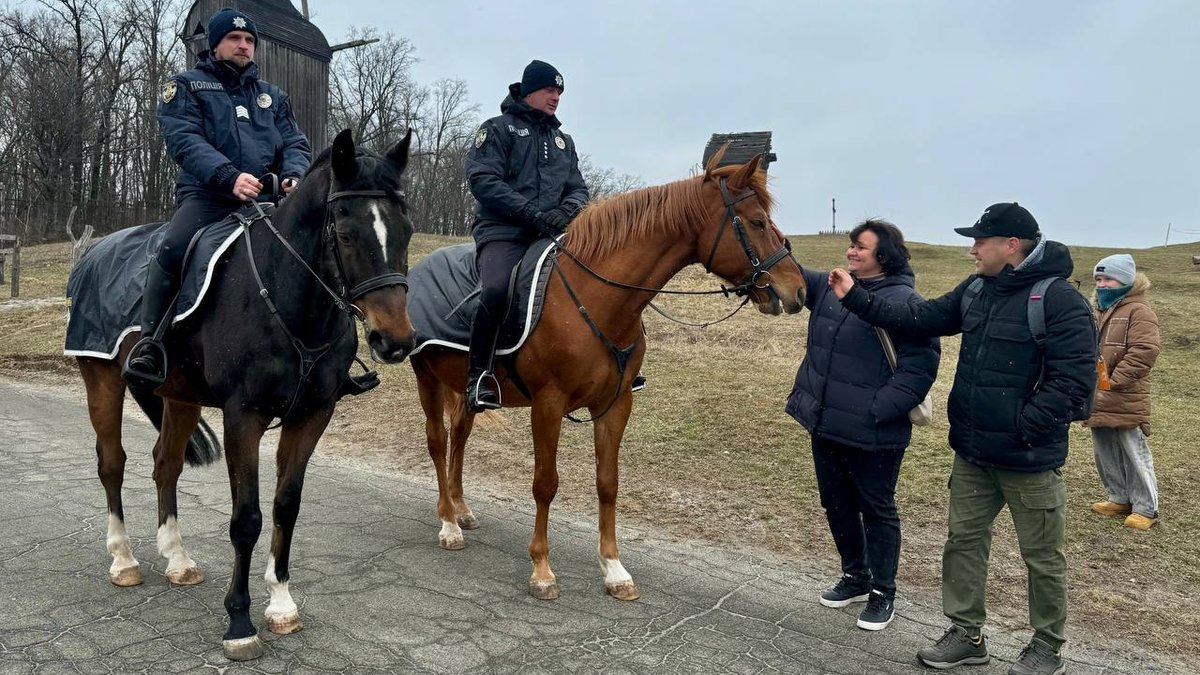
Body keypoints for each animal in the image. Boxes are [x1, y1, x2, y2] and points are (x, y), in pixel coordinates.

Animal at [70, 128, 420, 658]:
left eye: (407, 230)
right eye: (345, 233)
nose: (394, 340)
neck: (287, 297)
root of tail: (93, 253)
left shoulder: (312, 415)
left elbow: (285, 507)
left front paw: (281, 604)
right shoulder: (244, 417)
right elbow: (247, 518)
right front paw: (239, 621)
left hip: (180, 397)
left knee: (165, 464)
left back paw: (177, 559)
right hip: (103, 381)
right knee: (112, 464)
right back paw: (124, 560)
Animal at [412, 151, 806, 598]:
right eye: (756, 222)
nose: (797, 290)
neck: (595, 297)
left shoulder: (616, 403)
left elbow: (608, 482)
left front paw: (614, 569)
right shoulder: (547, 404)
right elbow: (545, 483)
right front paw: (542, 569)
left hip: (465, 388)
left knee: (459, 437)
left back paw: (461, 510)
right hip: (426, 378)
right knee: (437, 442)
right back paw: (448, 524)